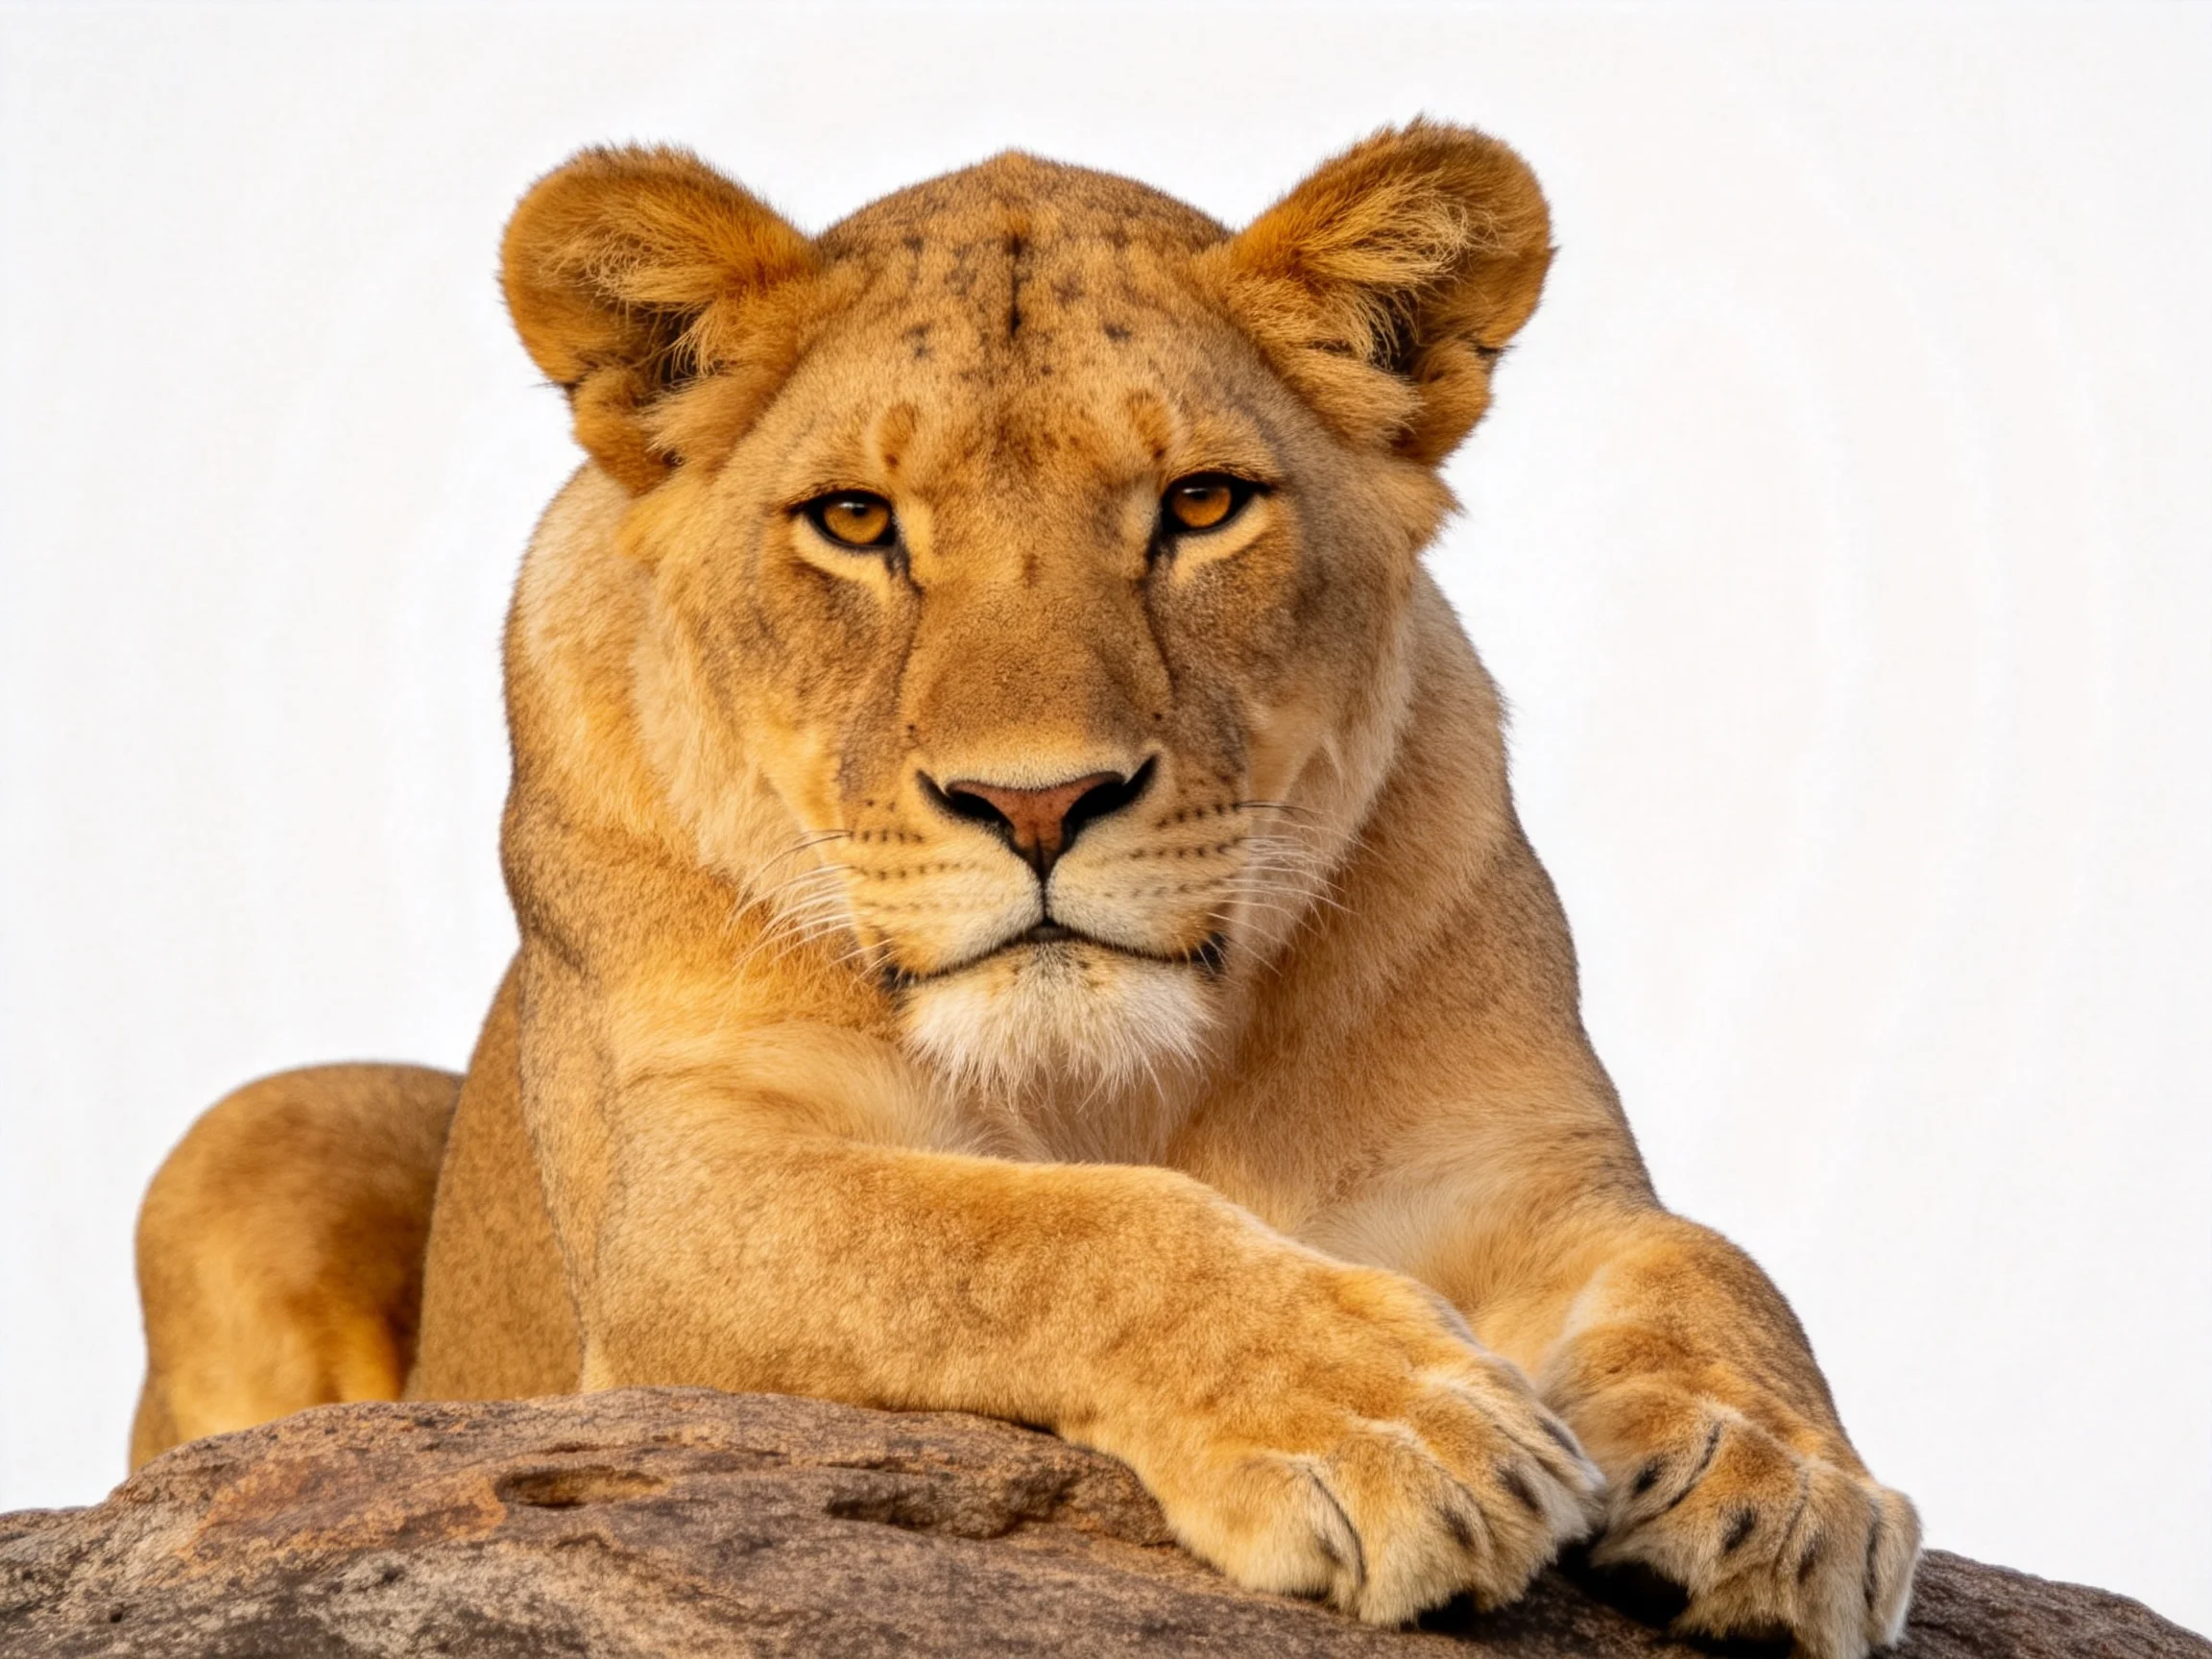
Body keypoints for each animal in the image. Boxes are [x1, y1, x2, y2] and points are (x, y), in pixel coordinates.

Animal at [129, 123, 1919, 1655]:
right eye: (855, 520)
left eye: (1201, 503)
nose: (1039, 801)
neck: (1102, 1079)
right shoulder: (677, 1209)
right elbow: (1035, 1231)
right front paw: (1391, 1427)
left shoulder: (1519, 1176)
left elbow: (1710, 1263)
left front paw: (1783, 1486)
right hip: (253, 1134)